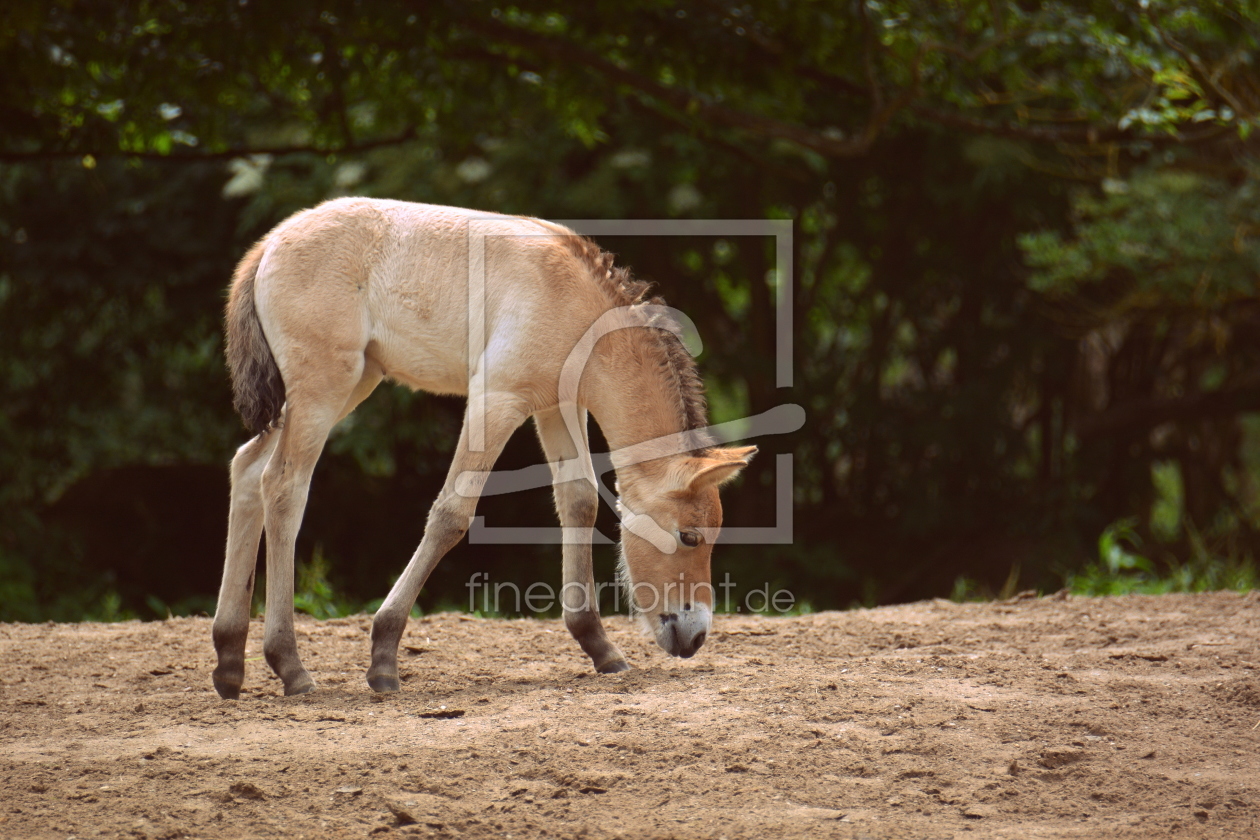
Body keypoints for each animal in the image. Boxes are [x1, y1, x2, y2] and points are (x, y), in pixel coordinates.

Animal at [211, 197, 750, 695]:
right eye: (689, 537)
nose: (696, 635)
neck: (575, 301)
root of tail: (271, 243)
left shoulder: (557, 405)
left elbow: (578, 501)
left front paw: (599, 646)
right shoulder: (497, 399)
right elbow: (451, 513)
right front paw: (384, 655)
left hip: (348, 385)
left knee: (246, 469)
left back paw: (230, 660)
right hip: (323, 388)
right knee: (283, 486)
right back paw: (290, 665)